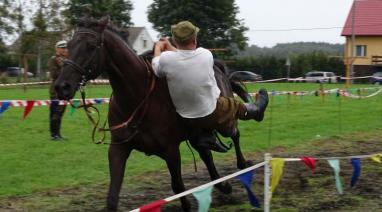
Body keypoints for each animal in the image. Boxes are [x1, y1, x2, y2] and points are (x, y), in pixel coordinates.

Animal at [53, 17, 251, 211]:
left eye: (91, 45)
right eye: (69, 45)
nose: (62, 86)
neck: (137, 98)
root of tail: (218, 67)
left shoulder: (171, 151)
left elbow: (179, 188)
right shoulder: (118, 149)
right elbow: (112, 197)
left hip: (224, 122)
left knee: (235, 134)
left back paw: (242, 165)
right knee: (206, 154)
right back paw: (223, 185)